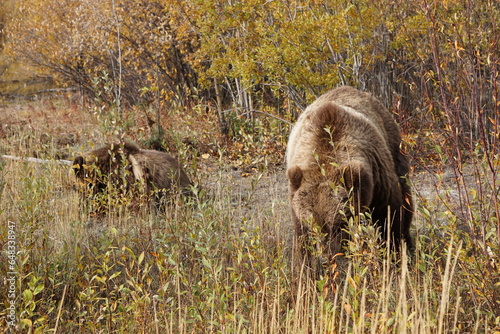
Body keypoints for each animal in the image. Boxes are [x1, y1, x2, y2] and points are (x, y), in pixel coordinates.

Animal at [288, 87, 412, 268]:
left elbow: (390, 216)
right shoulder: (297, 197)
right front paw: (304, 266)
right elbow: (301, 236)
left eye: (338, 225)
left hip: (393, 144)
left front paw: (394, 258)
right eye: (314, 225)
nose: (326, 258)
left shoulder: (377, 176)